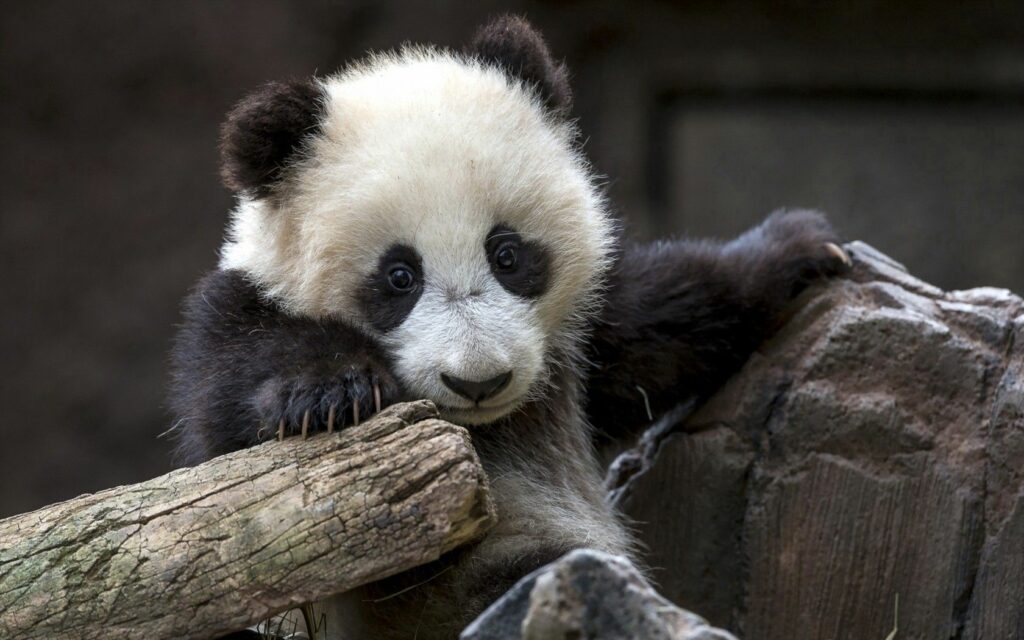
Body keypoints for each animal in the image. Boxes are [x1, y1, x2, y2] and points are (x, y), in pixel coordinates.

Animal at [169, 16, 848, 640]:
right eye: (399, 277)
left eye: (508, 255)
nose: (478, 382)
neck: (482, 428)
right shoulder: (237, 309)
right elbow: (228, 419)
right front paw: (331, 393)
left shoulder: (580, 338)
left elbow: (661, 320)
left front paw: (799, 249)